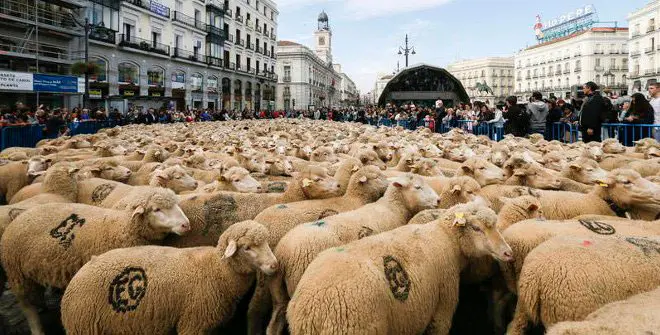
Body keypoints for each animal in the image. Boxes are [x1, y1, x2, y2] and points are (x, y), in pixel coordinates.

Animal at [0, 189, 191, 335]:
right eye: (157, 209)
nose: (186, 225)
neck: (123, 226)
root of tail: (19, 217)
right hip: (17, 273)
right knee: (27, 306)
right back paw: (37, 328)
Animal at [60, 220, 278, 335]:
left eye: (267, 242)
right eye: (247, 247)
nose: (274, 265)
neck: (217, 270)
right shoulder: (193, 322)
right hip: (84, 326)